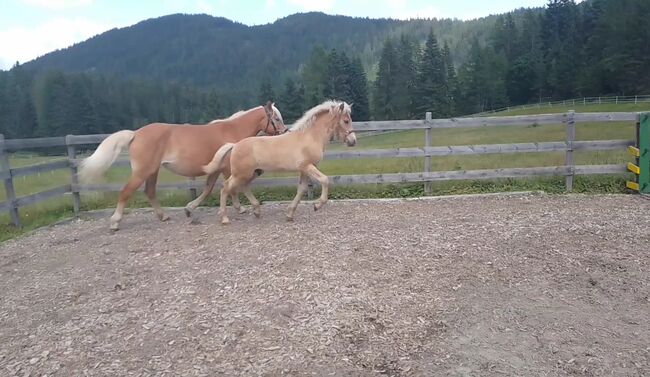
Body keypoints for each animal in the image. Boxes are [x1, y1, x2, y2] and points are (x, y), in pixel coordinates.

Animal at [78, 100, 286, 229]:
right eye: (276, 118)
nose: (285, 132)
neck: (231, 131)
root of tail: (135, 133)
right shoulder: (228, 168)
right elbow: (233, 188)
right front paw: (241, 209)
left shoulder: (215, 169)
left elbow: (208, 189)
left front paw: (189, 209)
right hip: (142, 171)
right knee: (126, 192)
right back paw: (115, 222)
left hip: (153, 171)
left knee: (150, 191)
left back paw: (163, 216)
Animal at [201, 98, 354, 225]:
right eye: (346, 121)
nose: (353, 141)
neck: (310, 136)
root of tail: (234, 145)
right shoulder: (307, 166)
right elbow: (324, 180)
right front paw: (317, 205)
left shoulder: (304, 169)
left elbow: (302, 189)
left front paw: (290, 214)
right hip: (241, 174)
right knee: (226, 187)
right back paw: (224, 218)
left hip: (252, 173)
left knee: (243, 186)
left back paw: (256, 211)